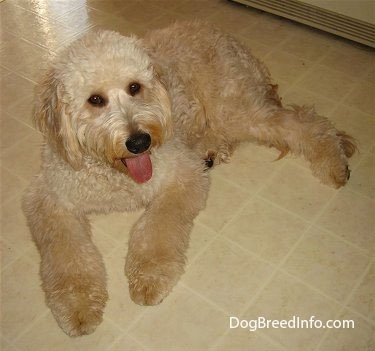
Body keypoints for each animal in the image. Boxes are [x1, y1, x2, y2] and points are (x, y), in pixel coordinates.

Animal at [22, 20, 356, 338]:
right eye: (95, 99)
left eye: (134, 87)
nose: (140, 142)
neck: (116, 175)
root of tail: (228, 37)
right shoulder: (50, 198)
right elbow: (67, 255)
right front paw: (77, 306)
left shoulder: (182, 175)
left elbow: (157, 229)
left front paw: (149, 276)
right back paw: (212, 149)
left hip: (238, 111)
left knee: (305, 123)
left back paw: (333, 162)